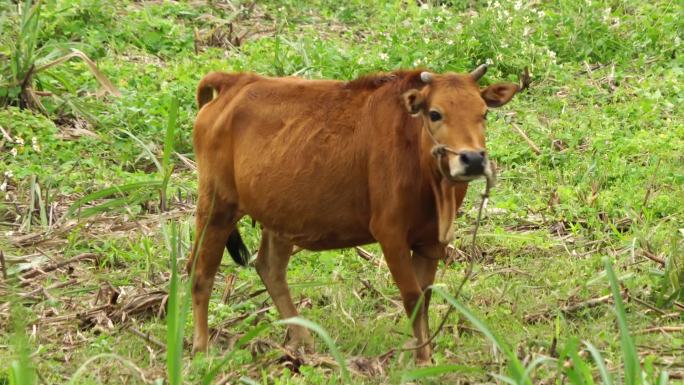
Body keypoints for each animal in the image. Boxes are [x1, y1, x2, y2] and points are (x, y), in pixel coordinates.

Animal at [187, 64, 520, 362]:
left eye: (483, 113)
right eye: (435, 113)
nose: (473, 159)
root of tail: (235, 81)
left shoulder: (431, 241)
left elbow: (424, 298)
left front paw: (422, 353)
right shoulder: (390, 233)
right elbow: (412, 296)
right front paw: (423, 360)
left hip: (278, 216)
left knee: (270, 269)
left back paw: (303, 341)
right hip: (216, 205)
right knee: (200, 273)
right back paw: (201, 348)